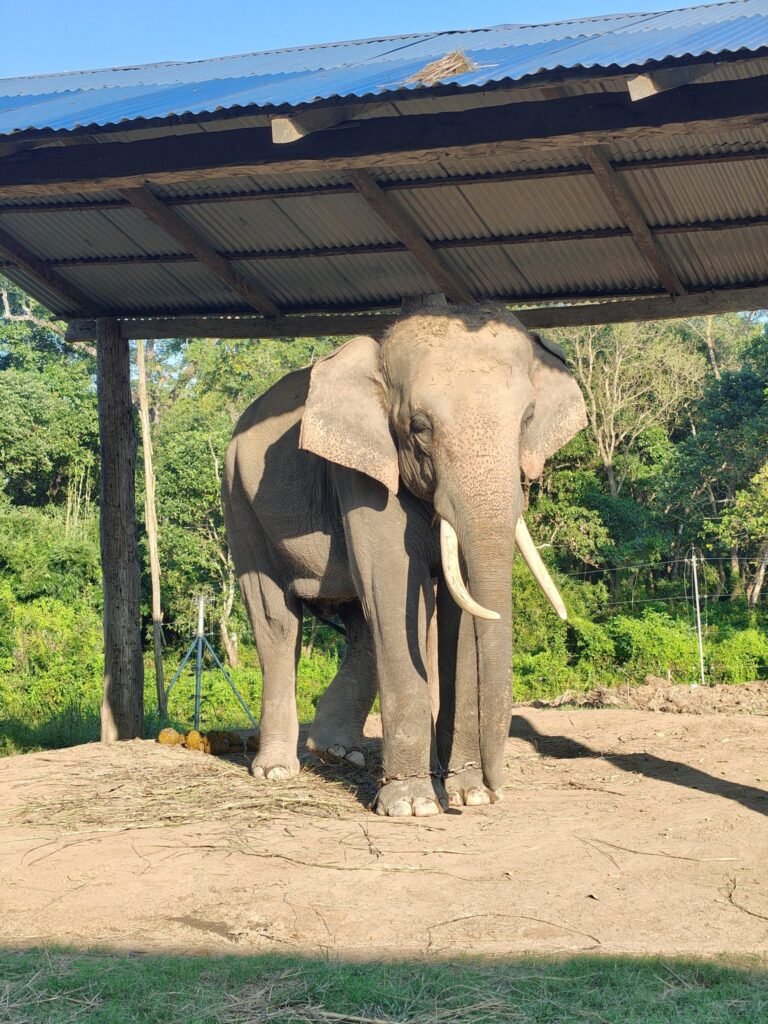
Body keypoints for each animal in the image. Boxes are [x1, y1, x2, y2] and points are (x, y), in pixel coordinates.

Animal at [222, 303, 587, 816]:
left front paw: (468, 793)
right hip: (240, 501)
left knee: (360, 625)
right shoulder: (360, 473)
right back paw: (276, 769)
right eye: (419, 427)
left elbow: (455, 611)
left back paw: (340, 751)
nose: (499, 789)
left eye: (528, 417)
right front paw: (414, 805)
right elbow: (394, 586)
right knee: (276, 619)